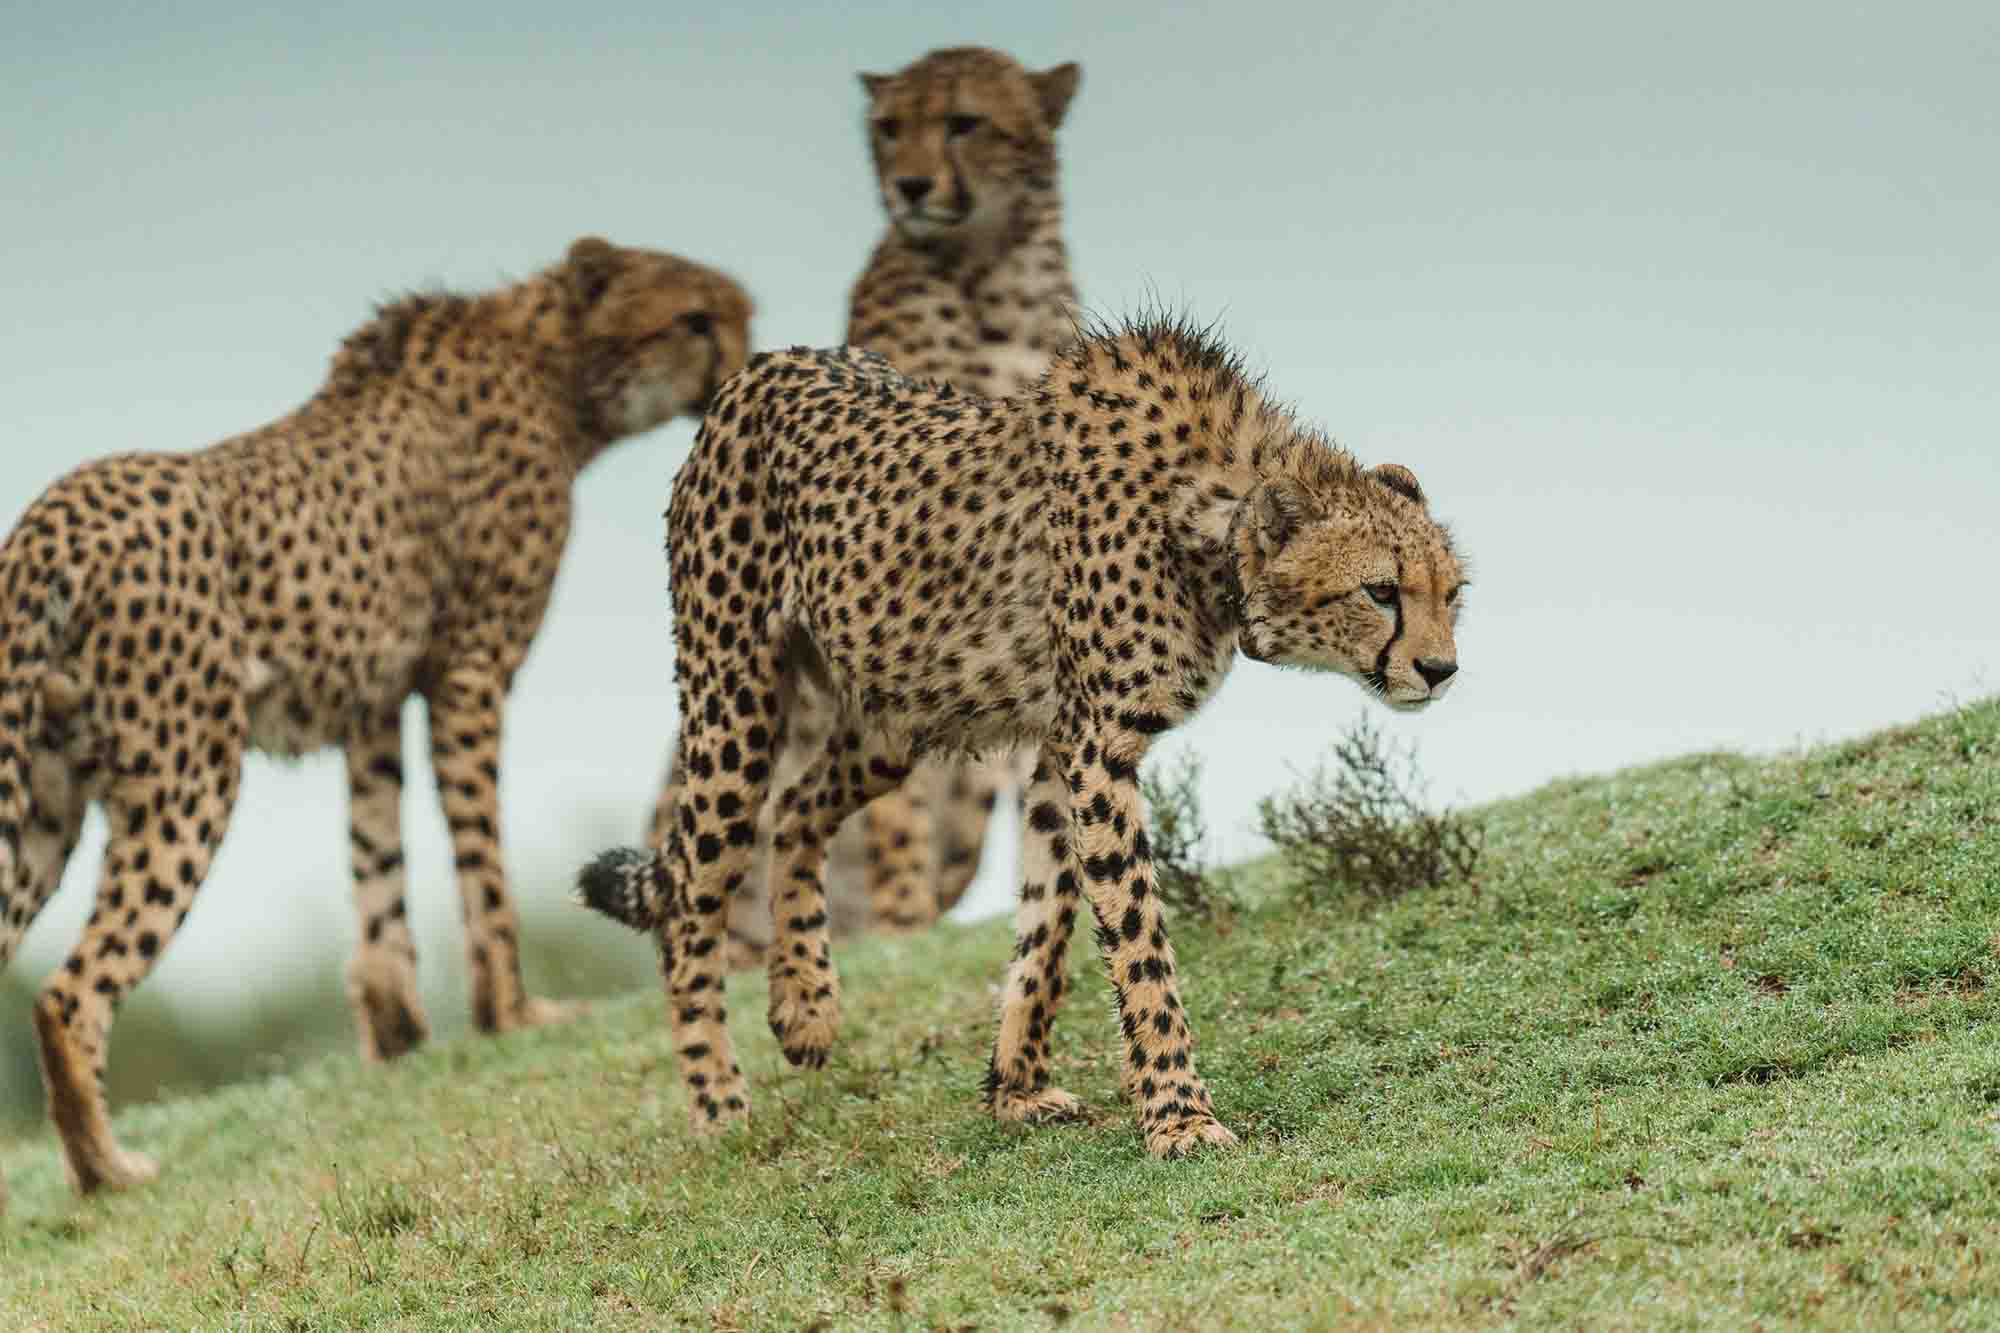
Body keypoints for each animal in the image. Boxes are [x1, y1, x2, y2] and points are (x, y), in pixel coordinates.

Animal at [0, 236, 751, 1208]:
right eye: (695, 318)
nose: (741, 363)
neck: (553, 366)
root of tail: (50, 520)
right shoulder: (469, 670)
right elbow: (484, 871)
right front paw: (514, 1013)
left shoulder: (372, 704)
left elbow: (377, 865)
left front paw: (398, 1033)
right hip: (187, 776)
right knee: (69, 994)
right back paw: (107, 1170)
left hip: (43, 807)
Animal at [579, 314, 1468, 1158]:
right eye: (1380, 590)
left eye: (1452, 592)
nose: (1441, 669)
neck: (1208, 518)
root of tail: (764, 365)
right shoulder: (1098, 748)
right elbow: (1137, 938)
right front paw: (1179, 1116)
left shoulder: (1058, 745)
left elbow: (1048, 919)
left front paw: (1016, 1087)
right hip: (733, 700)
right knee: (691, 898)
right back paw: (718, 1102)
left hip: (899, 706)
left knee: (797, 807)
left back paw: (806, 1005)